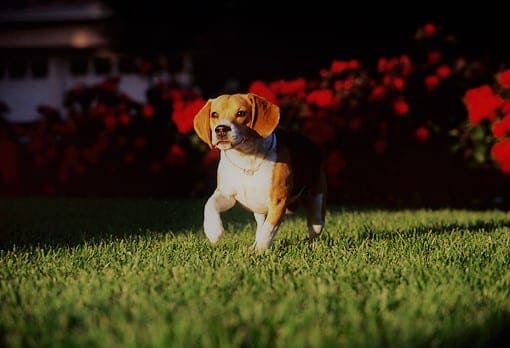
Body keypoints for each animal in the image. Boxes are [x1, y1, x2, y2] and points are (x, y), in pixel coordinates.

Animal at [195, 92, 326, 250]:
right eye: (214, 114)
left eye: (241, 113)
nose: (221, 129)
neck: (246, 158)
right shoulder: (226, 195)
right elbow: (209, 204)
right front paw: (213, 231)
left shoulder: (278, 201)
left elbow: (268, 230)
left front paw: (260, 250)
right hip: (259, 211)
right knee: (260, 226)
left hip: (317, 207)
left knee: (314, 230)